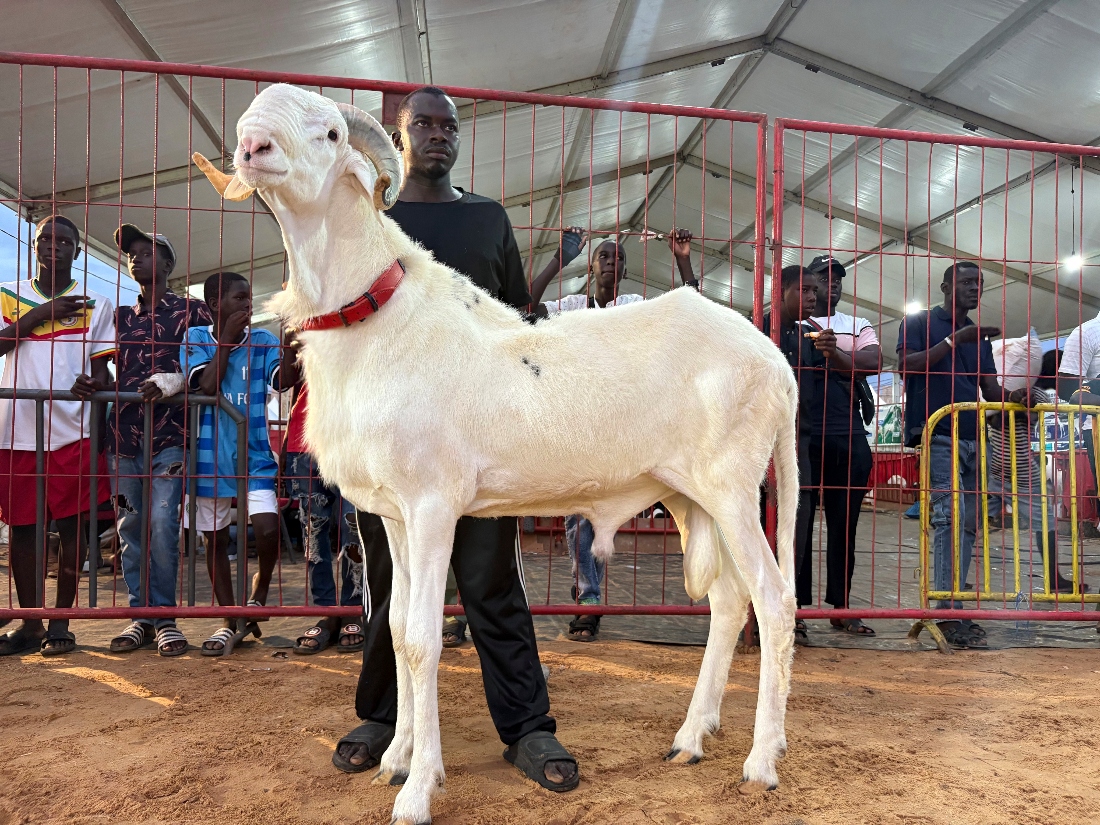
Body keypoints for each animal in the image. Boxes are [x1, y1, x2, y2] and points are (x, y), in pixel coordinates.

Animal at [193, 83, 799, 825]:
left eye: (332, 133)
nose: (254, 149)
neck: (376, 317)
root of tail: (775, 362)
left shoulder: (433, 506)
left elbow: (423, 640)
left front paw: (419, 789)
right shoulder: (391, 516)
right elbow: (395, 627)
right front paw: (395, 758)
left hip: (735, 485)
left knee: (774, 600)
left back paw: (762, 762)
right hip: (690, 495)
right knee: (729, 603)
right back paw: (690, 738)